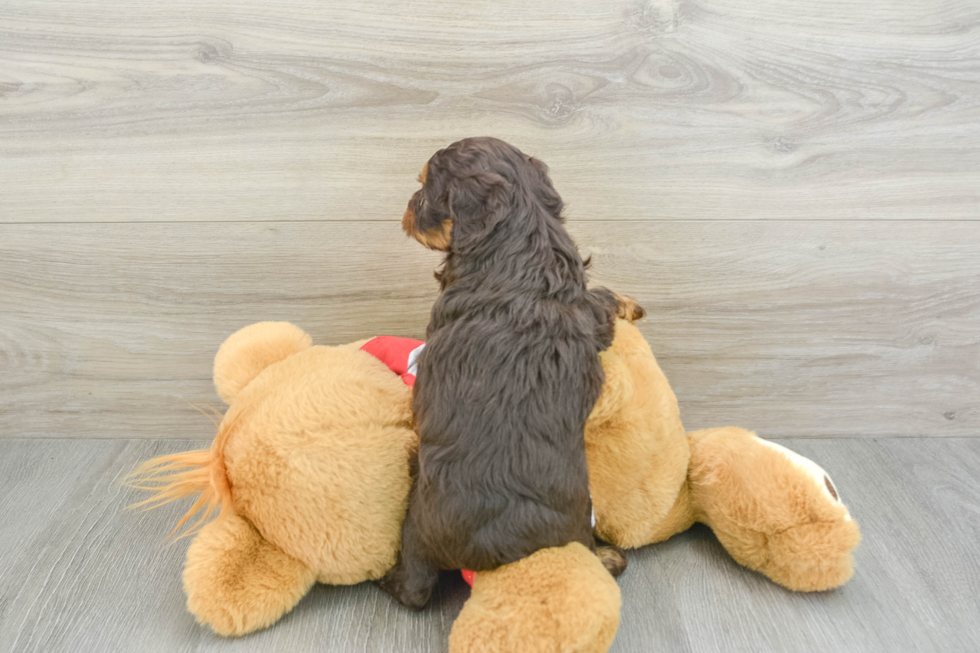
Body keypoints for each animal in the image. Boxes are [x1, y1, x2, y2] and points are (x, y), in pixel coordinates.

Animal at [376, 138, 628, 612]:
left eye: (425, 189)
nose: (408, 207)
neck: (524, 240)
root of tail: (500, 554)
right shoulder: (587, 311)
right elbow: (602, 305)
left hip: (419, 524)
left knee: (415, 589)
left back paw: (387, 577)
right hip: (573, 526)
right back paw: (607, 556)